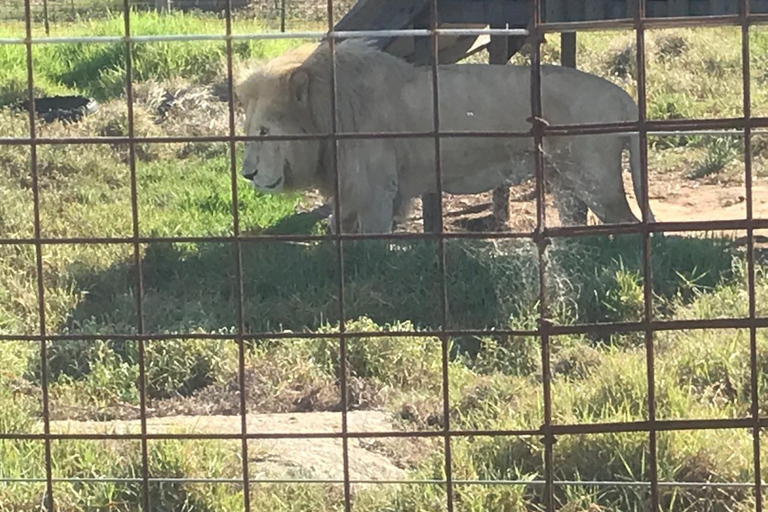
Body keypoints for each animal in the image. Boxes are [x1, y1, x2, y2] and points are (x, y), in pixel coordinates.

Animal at [237, 41, 656, 233]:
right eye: (247, 132)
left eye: (264, 132)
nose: (247, 174)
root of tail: (623, 97)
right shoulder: (358, 189)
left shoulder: (373, 187)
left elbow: (370, 239)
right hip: (563, 178)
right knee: (577, 218)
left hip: (596, 179)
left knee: (626, 221)